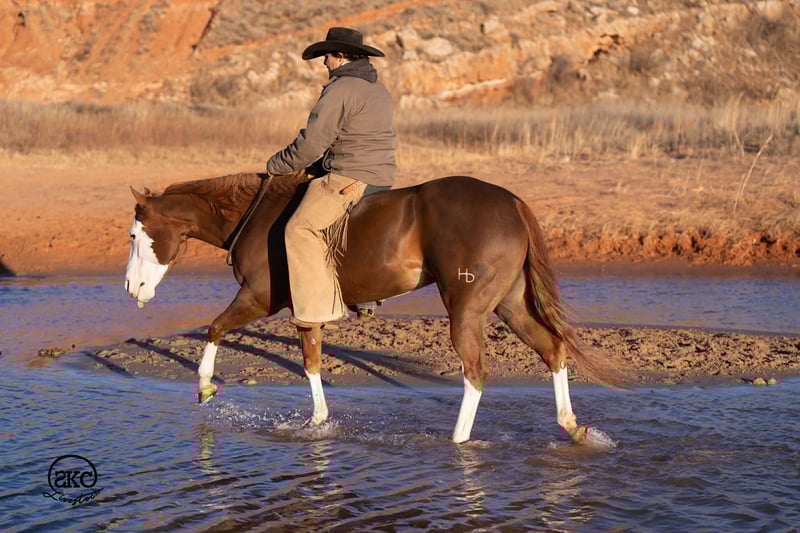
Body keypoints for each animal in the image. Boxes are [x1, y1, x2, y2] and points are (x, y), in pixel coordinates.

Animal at [125, 170, 618, 444]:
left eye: (133, 234)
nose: (131, 288)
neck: (257, 217)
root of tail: (511, 201)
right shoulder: (305, 308)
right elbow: (311, 364)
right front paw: (318, 423)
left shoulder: (258, 299)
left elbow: (214, 328)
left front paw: (206, 386)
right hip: (509, 304)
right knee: (552, 349)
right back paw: (571, 425)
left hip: (467, 311)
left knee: (475, 373)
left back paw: (458, 442)